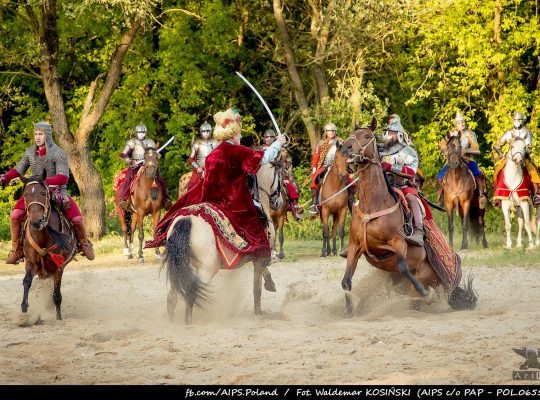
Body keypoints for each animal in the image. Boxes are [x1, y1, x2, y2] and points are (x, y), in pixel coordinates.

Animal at [19, 173, 77, 324]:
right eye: (25, 195)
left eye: (43, 193)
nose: (36, 220)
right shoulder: (31, 263)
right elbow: (26, 282)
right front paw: (23, 313)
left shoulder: (58, 267)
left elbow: (56, 294)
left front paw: (58, 318)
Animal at [165, 161, 282, 324]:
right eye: (281, 176)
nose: (279, 202)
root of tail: (186, 219)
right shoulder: (261, 255)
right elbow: (257, 288)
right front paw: (258, 311)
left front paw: (270, 284)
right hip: (207, 269)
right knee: (191, 293)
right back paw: (188, 322)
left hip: (182, 266)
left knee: (172, 296)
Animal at [342, 120, 476, 314]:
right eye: (351, 135)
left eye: (367, 136)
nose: (345, 148)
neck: (375, 205)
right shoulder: (354, 246)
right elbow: (346, 282)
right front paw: (350, 309)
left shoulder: (399, 243)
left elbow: (403, 266)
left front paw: (426, 294)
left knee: (414, 297)